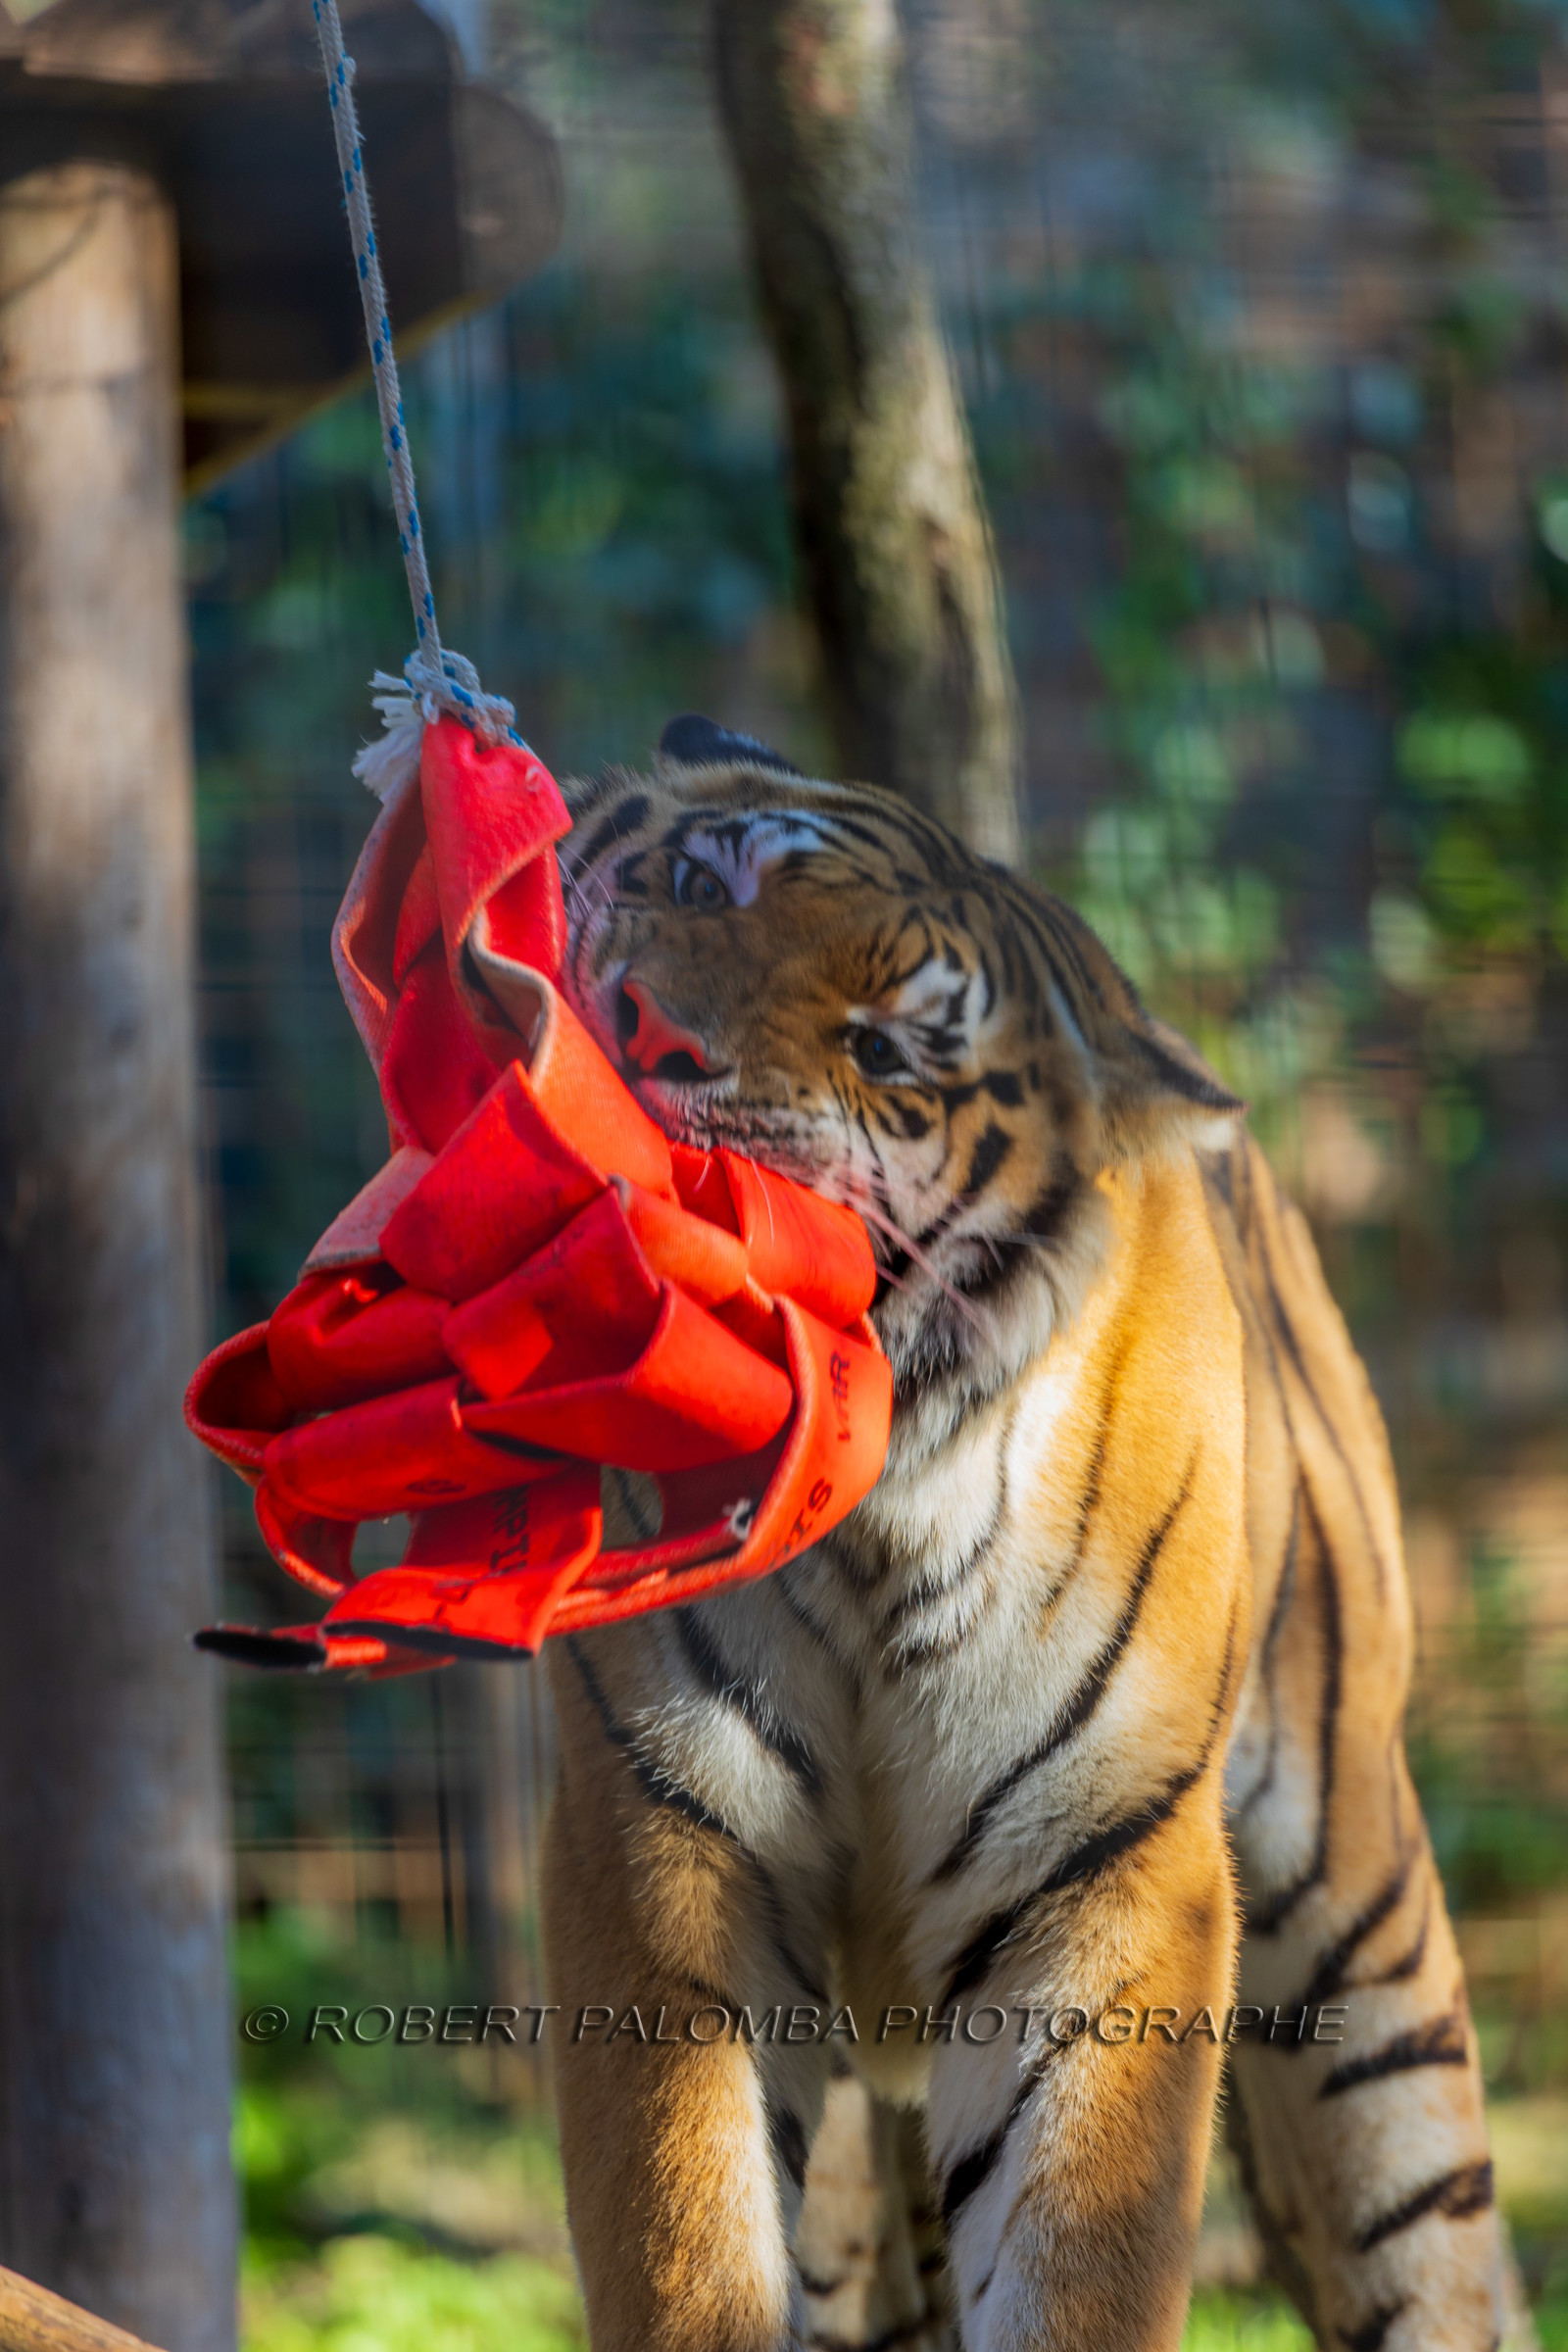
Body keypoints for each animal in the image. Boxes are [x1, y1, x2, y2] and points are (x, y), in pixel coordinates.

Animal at [538, 712, 1511, 2352]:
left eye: (880, 1048)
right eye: (693, 882)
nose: (645, 1031)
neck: (871, 1514)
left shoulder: (1103, 1873)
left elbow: (1076, 2258)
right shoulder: (669, 1839)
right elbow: (690, 2239)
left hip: (1364, 1938)